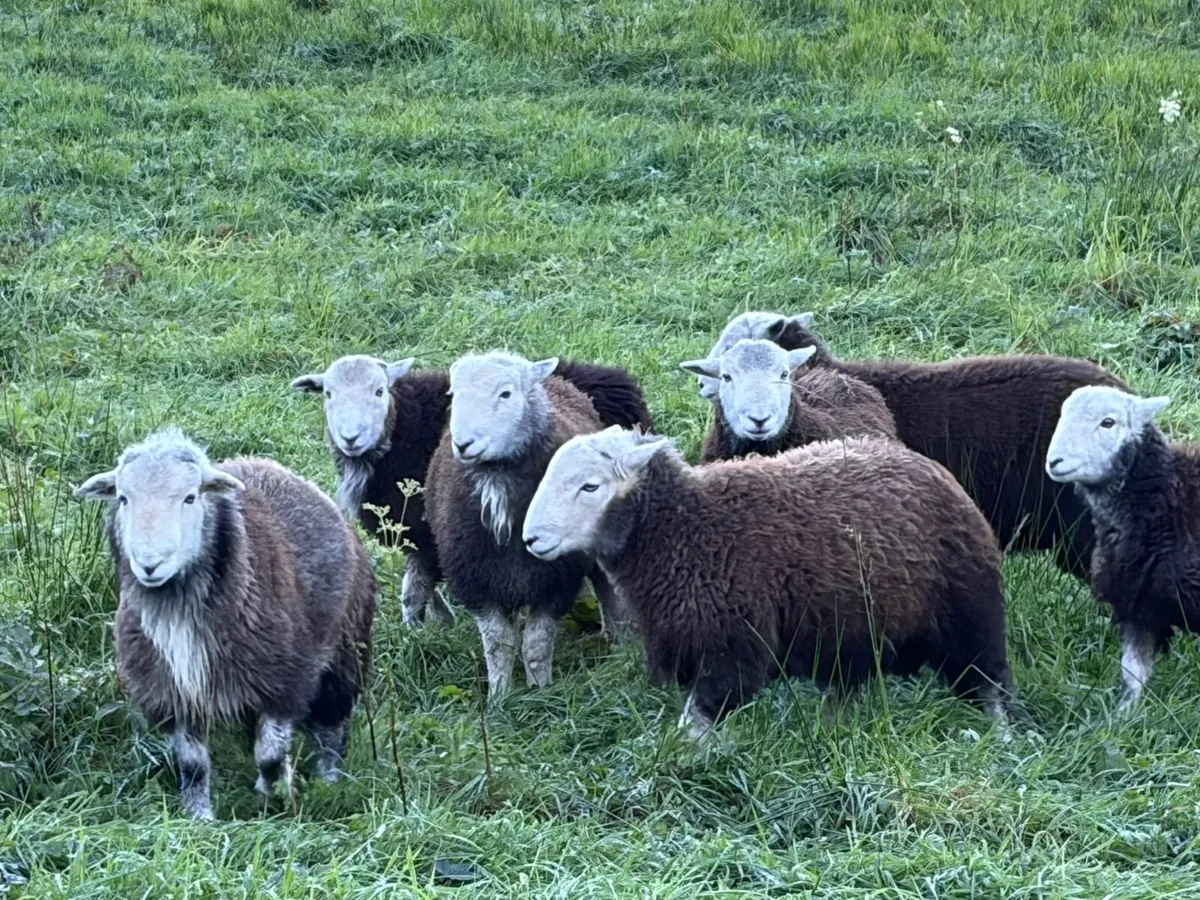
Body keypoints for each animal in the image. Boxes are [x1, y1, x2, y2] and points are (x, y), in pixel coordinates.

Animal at [74, 428, 377, 821]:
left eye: (190, 497)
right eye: (124, 498)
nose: (149, 564)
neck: (176, 605)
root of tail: (268, 464)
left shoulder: (285, 677)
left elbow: (270, 754)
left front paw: (276, 793)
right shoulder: (174, 691)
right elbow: (192, 764)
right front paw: (199, 816)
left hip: (344, 650)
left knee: (331, 721)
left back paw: (330, 777)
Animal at [292, 354, 653, 630]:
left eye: (379, 391)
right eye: (328, 394)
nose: (350, 438)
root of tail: (618, 381)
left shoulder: (426, 530)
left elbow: (413, 590)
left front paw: (416, 630)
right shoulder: (420, 536)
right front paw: (437, 624)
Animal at [424, 351, 629, 699]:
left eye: (506, 393)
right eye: (453, 394)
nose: (463, 444)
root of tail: (554, 378)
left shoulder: (557, 580)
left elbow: (535, 643)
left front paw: (540, 691)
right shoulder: (476, 581)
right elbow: (499, 645)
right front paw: (499, 696)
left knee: (605, 587)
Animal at [521, 426, 1012, 739]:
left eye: (590, 487)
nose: (530, 539)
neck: (688, 531)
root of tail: (930, 468)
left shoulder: (732, 643)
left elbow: (697, 719)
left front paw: (681, 758)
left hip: (968, 610)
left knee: (987, 682)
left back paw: (1001, 741)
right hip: (851, 628)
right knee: (846, 688)